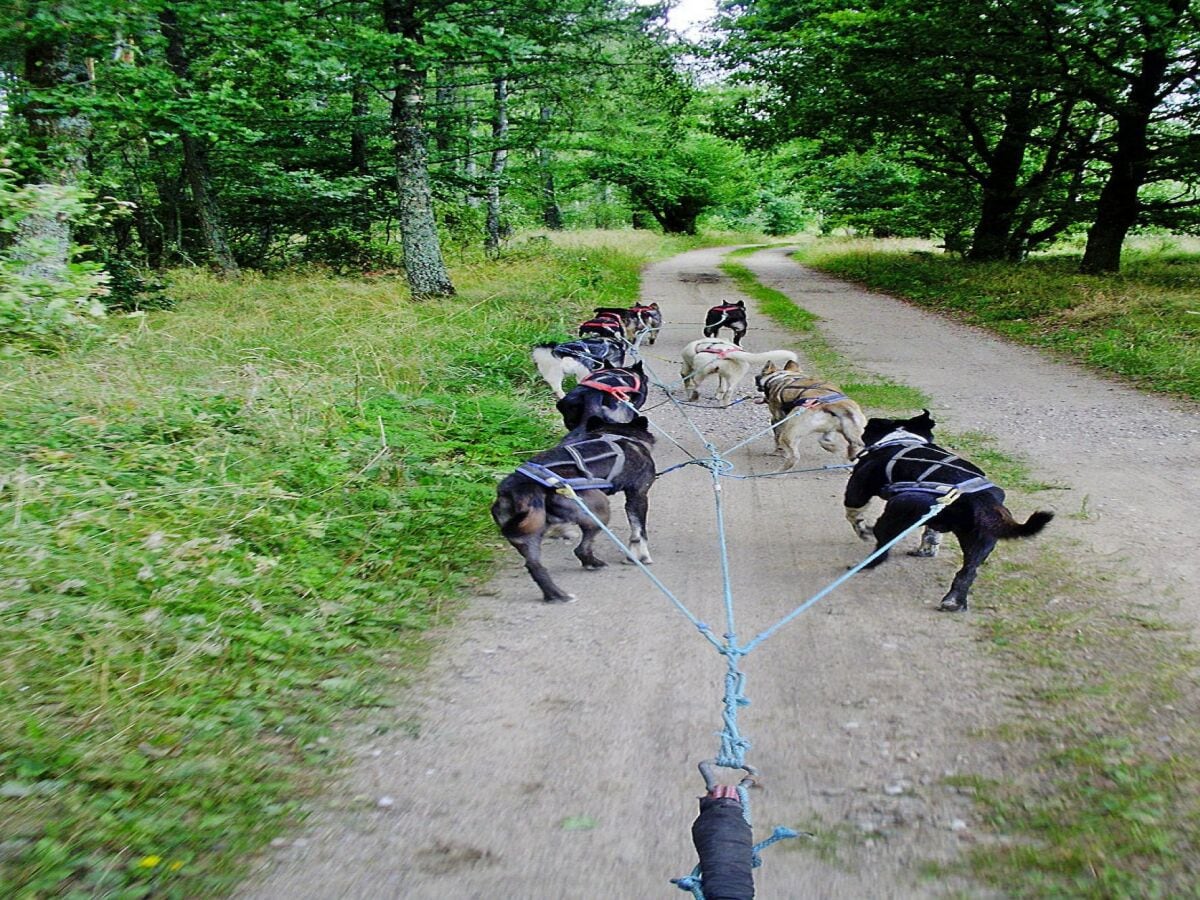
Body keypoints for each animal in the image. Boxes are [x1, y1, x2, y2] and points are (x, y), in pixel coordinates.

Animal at [492, 417, 657, 607]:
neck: (617, 434)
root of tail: (522, 485)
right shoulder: (638, 495)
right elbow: (638, 533)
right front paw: (639, 557)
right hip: (600, 511)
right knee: (581, 549)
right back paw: (592, 564)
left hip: (529, 534)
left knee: (535, 566)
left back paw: (556, 595)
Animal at [844, 415, 1051, 614]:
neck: (903, 438)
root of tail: (981, 500)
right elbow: (931, 535)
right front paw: (926, 550)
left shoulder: (856, 491)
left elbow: (853, 514)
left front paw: (862, 529)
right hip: (981, 540)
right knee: (967, 573)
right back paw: (953, 602)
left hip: (894, 512)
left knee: (882, 550)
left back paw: (862, 564)